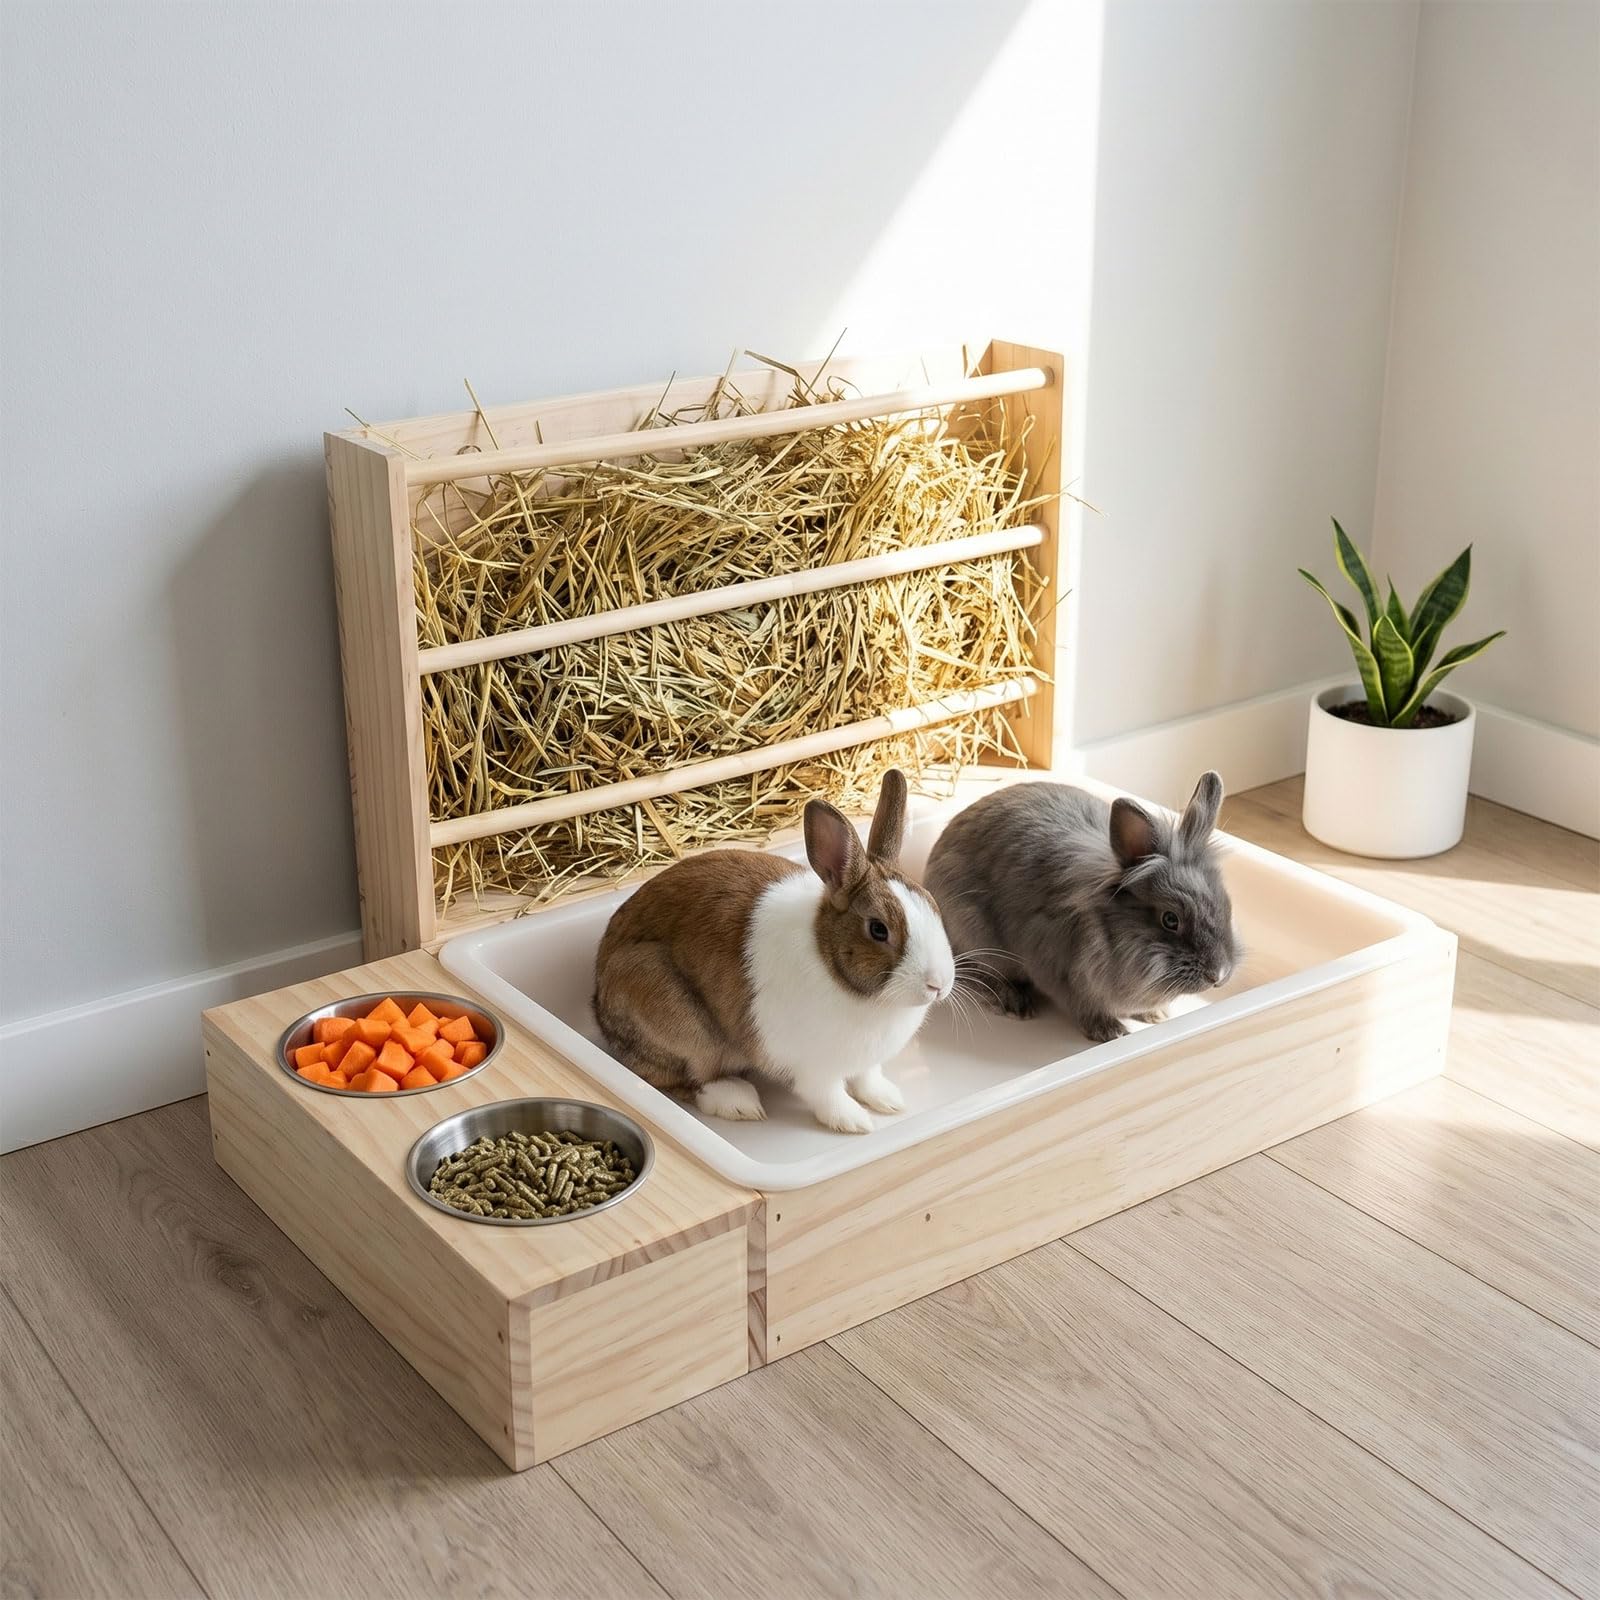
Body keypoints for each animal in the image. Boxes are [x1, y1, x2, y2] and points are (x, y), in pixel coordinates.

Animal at [592, 770, 955, 1134]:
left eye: (933, 905)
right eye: (878, 929)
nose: (938, 985)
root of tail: (598, 1000)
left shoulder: (866, 1063)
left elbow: (867, 1079)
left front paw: (889, 1100)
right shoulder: (813, 1068)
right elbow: (828, 1095)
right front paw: (854, 1122)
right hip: (676, 1018)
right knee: (678, 1077)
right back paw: (739, 1102)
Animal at [923, 771, 1239, 1043]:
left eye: (1227, 905)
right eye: (1170, 919)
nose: (1219, 975)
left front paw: (1156, 1015)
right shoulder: (1063, 975)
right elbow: (1085, 1009)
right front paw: (1112, 1032)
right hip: (973, 934)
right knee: (978, 974)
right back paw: (1014, 1002)